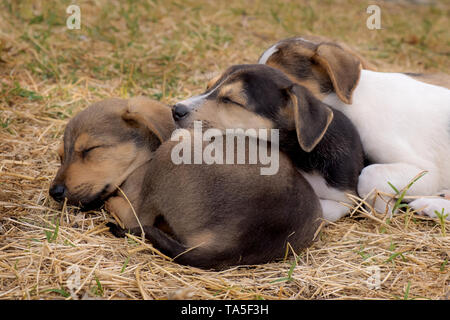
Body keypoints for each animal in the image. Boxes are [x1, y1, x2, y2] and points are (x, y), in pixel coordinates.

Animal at [49, 96, 324, 268]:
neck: (143, 160)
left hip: (172, 151)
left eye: (90, 150)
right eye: (60, 156)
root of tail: (237, 242)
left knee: (136, 219)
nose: (55, 192)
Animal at [172, 63, 366, 222]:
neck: (299, 154)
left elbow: (325, 209)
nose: (176, 109)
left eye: (231, 100)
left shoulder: (350, 198)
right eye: (207, 87)